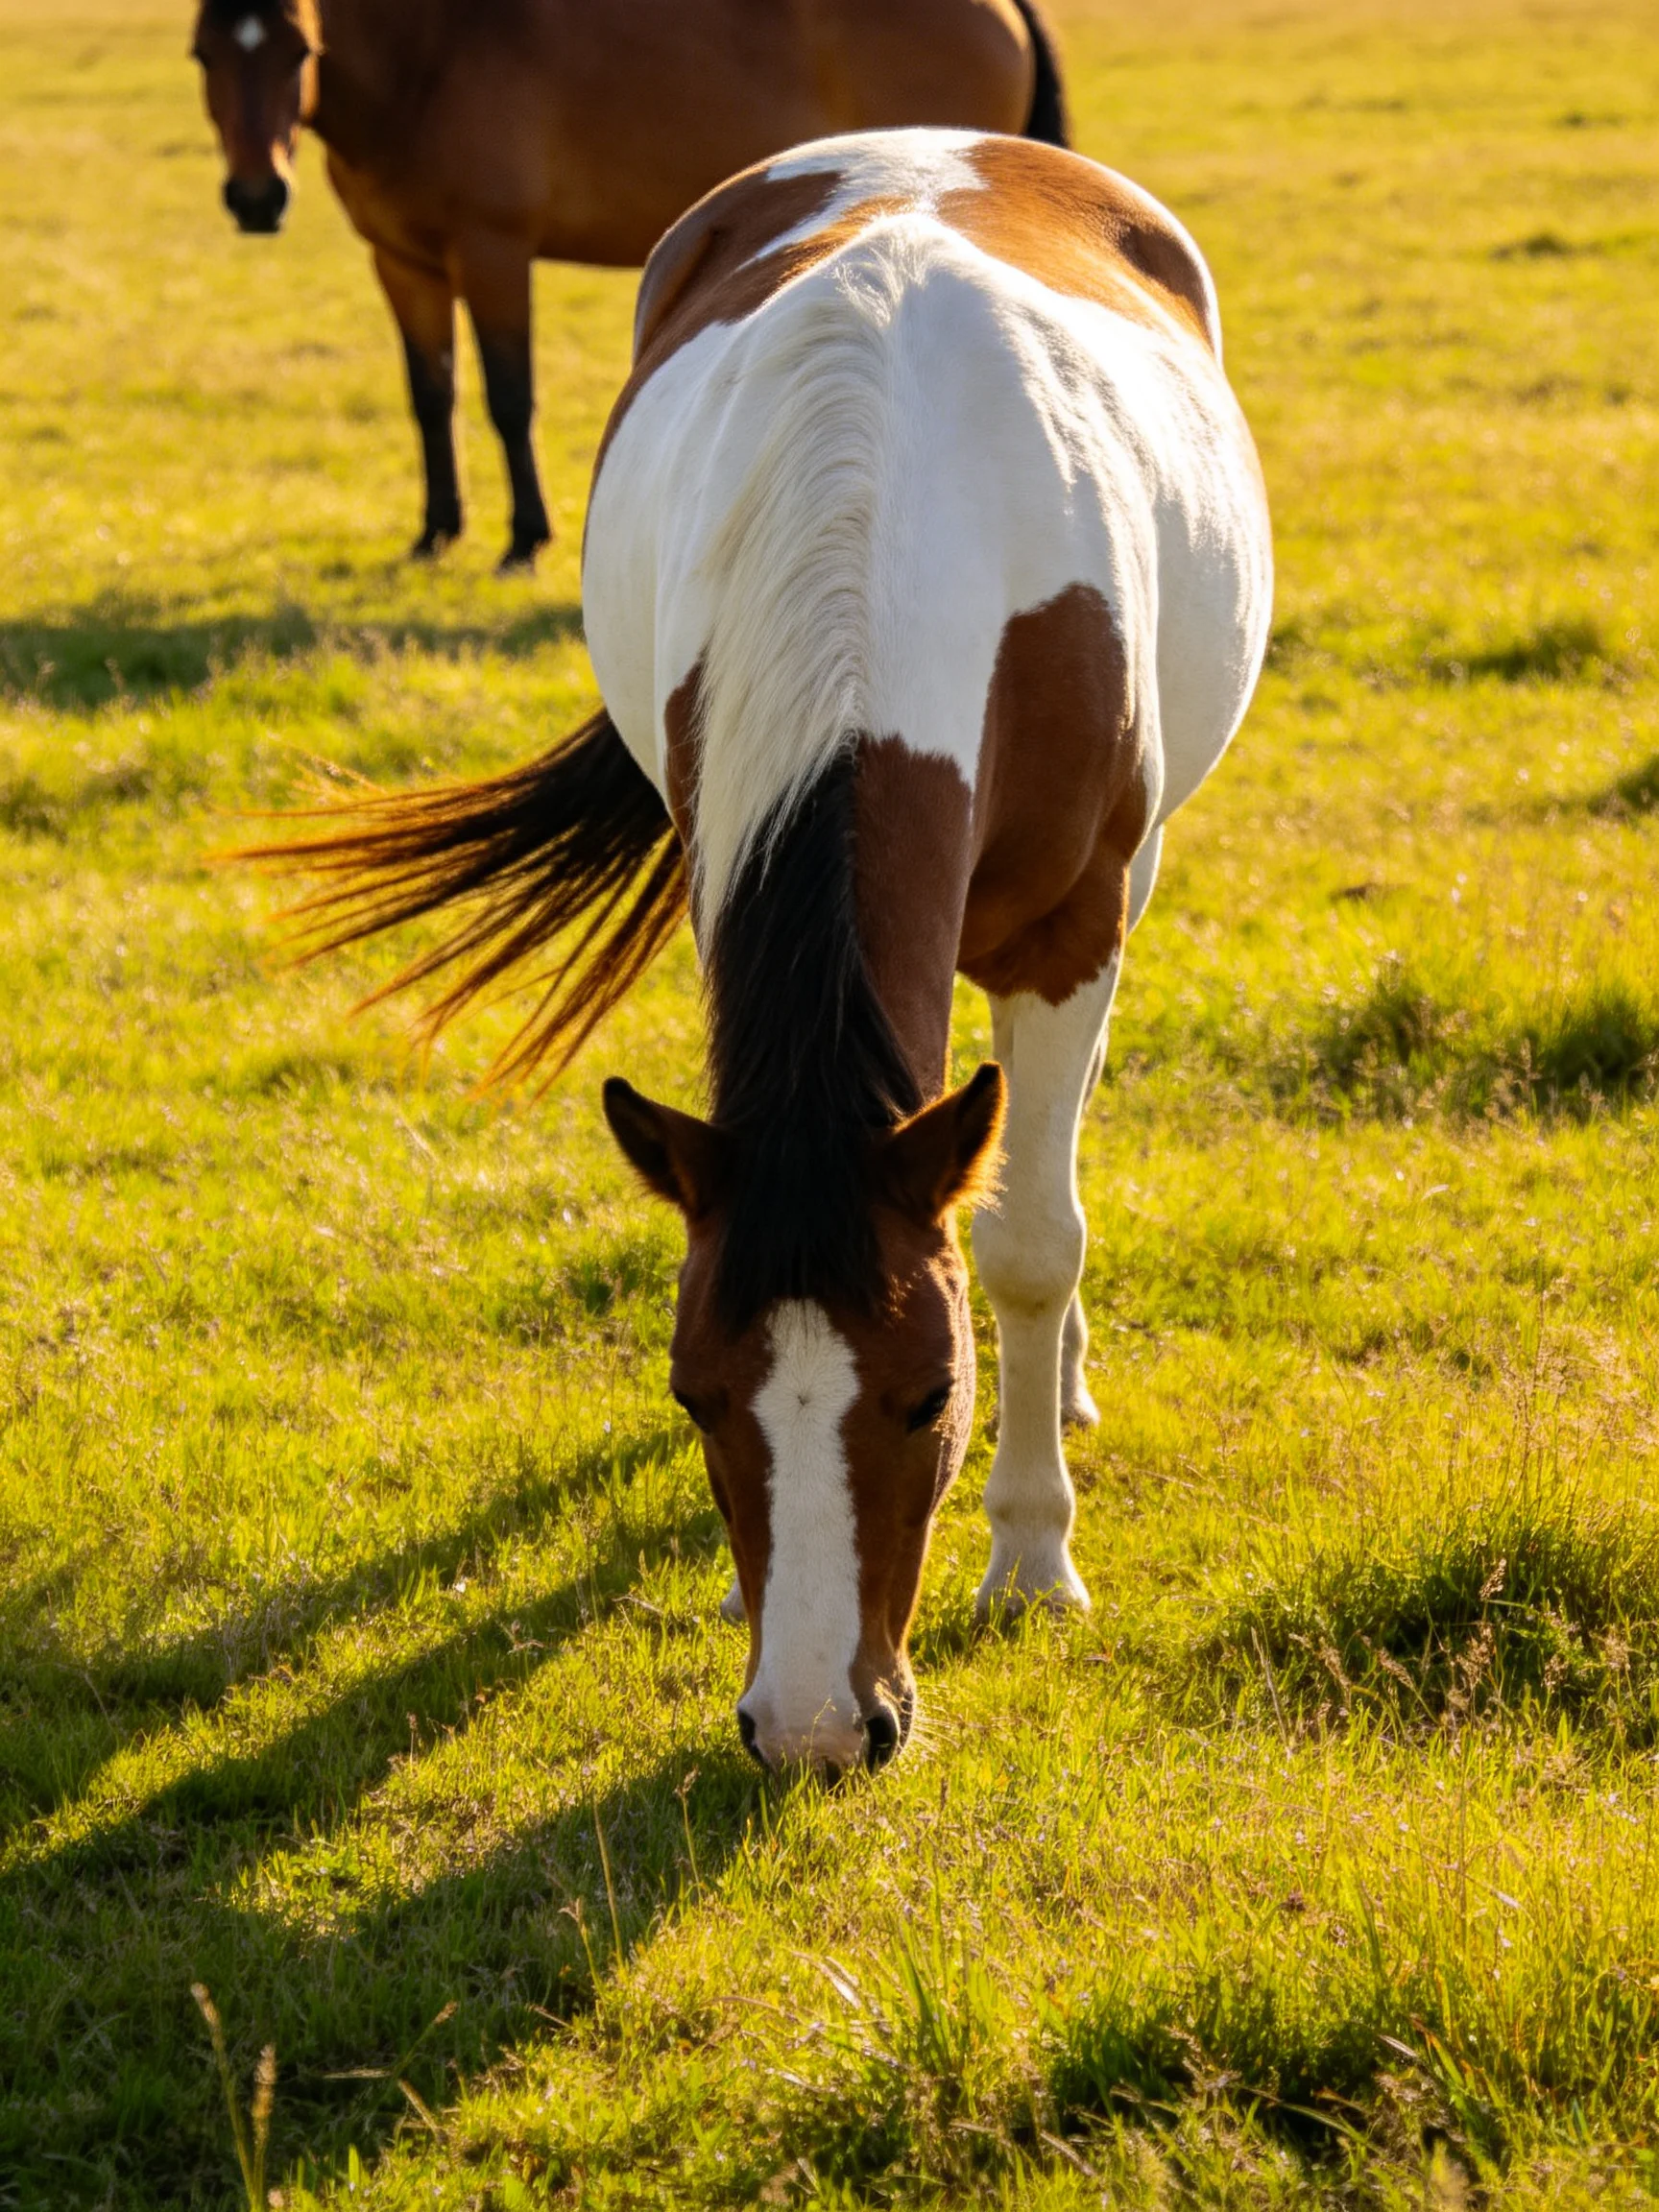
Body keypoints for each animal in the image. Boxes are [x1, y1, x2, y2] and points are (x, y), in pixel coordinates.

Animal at [188, 0, 1069, 572]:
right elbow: (430, 395)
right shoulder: (403, 264)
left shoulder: (492, 253)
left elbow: (510, 397)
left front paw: (524, 538)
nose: (256, 198)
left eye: (300, 53)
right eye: (204, 55)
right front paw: (438, 531)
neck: (427, 63)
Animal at [245, 128, 1273, 1775]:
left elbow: (1028, 1243)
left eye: (930, 1397)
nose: (812, 1730)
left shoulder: (1069, 928)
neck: (878, 528)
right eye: (693, 1396)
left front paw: (1032, 1554)